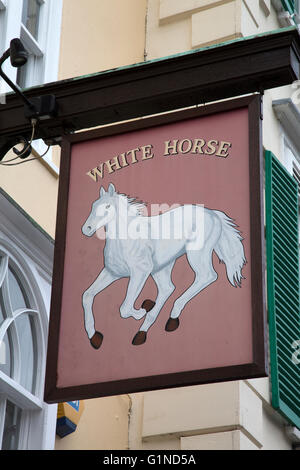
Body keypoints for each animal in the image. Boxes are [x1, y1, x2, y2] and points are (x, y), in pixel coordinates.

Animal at [81, 184, 245, 348]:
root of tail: (214, 214)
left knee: (207, 276)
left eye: (107, 206)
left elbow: (125, 308)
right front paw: (94, 337)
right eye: (93, 205)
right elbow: (87, 295)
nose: (86, 229)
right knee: (167, 288)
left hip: (196, 255)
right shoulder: (112, 272)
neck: (126, 239)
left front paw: (140, 311)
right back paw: (149, 327)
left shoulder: (141, 271)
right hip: (161, 268)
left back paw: (164, 317)